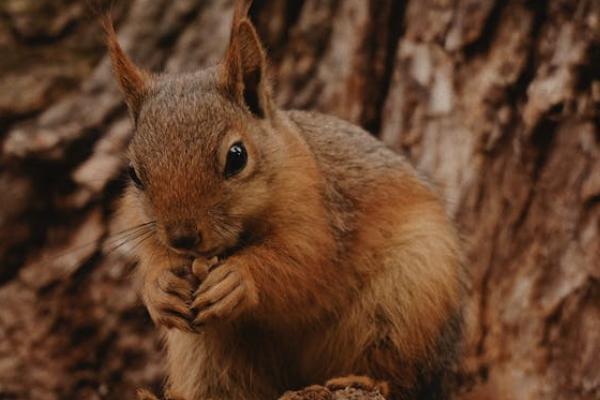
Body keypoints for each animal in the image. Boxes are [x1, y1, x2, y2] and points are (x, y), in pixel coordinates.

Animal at [106, 1, 464, 398]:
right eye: (134, 173)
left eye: (237, 156)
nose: (182, 237)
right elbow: (152, 256)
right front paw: (159, 288)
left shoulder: (319, 216)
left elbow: (301, 261)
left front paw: (240, 277)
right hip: (207, 350)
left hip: (407, 297)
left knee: (401, 374)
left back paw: (363, 379)